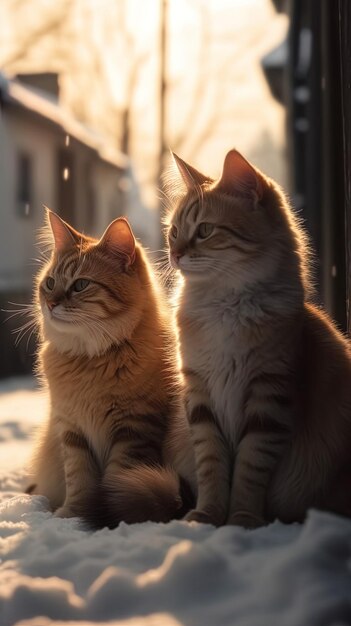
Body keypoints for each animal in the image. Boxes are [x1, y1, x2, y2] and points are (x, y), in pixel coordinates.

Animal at [28, 211, 195, 528]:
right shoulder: (72, 432)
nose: (51, 303)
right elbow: (80, 480)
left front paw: (106, 517)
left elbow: (114, 482)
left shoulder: (133, 430)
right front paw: (73, 517)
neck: (89, 360)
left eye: (81, 285)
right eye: (50, 283)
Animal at [166, 150, 351, 528]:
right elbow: (211, 467)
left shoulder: (270, 395)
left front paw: (241, 519)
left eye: (204, 231)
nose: (175, 254)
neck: (223, 307)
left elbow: (249, 471)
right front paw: (207, 516)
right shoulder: (200, 397)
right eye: (174, 232)